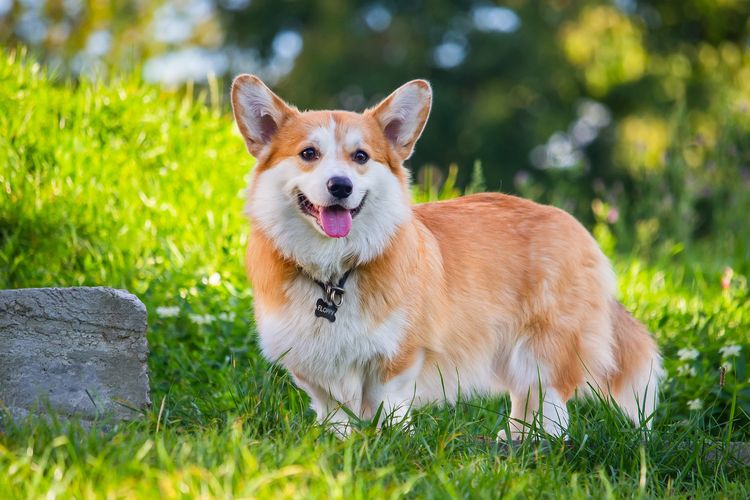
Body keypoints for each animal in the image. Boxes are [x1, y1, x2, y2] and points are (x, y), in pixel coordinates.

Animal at [231, 74, 664, 438]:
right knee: (525, 398)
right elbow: (333, 411)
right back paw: (516, 439)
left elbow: (388, 405)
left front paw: (393, 441)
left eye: (361, 157)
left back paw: (540, 445)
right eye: (308, 153)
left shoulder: (400, 357)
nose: (341, 186)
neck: (335, 272)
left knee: (551, 402)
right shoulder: (312, 366)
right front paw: (339, 442)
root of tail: (576, 227)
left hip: (545, 347)